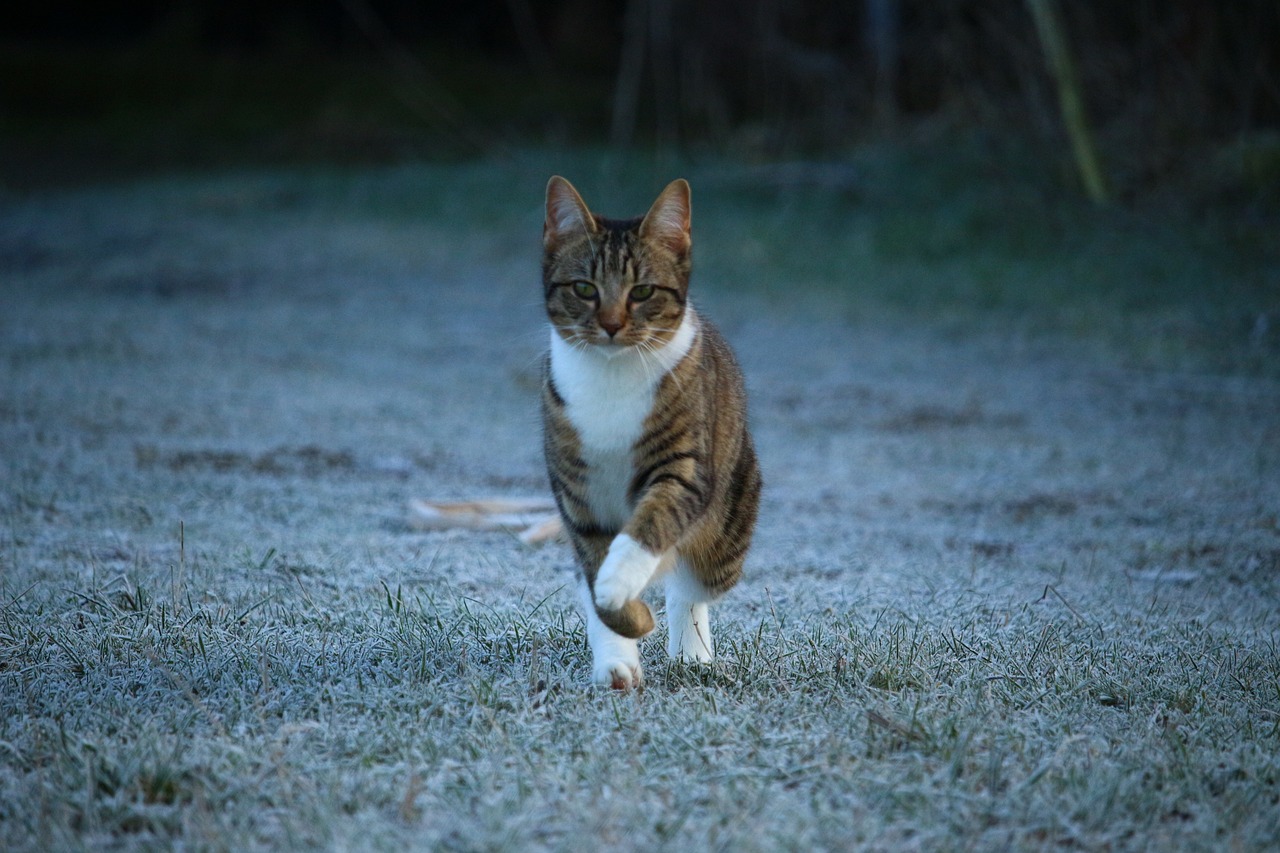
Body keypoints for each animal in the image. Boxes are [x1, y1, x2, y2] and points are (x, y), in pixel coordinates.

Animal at [540, 175, 757, 686]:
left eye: (641, 291)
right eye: (584, 288)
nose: (612, 325)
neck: (611, 376)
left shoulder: (684, 468)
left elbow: (651, 523)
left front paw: (619, 586)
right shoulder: (576, 490)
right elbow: (592, 569)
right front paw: (623, 635)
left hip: (728, 524)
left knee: (691, 583)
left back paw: (691, 652)